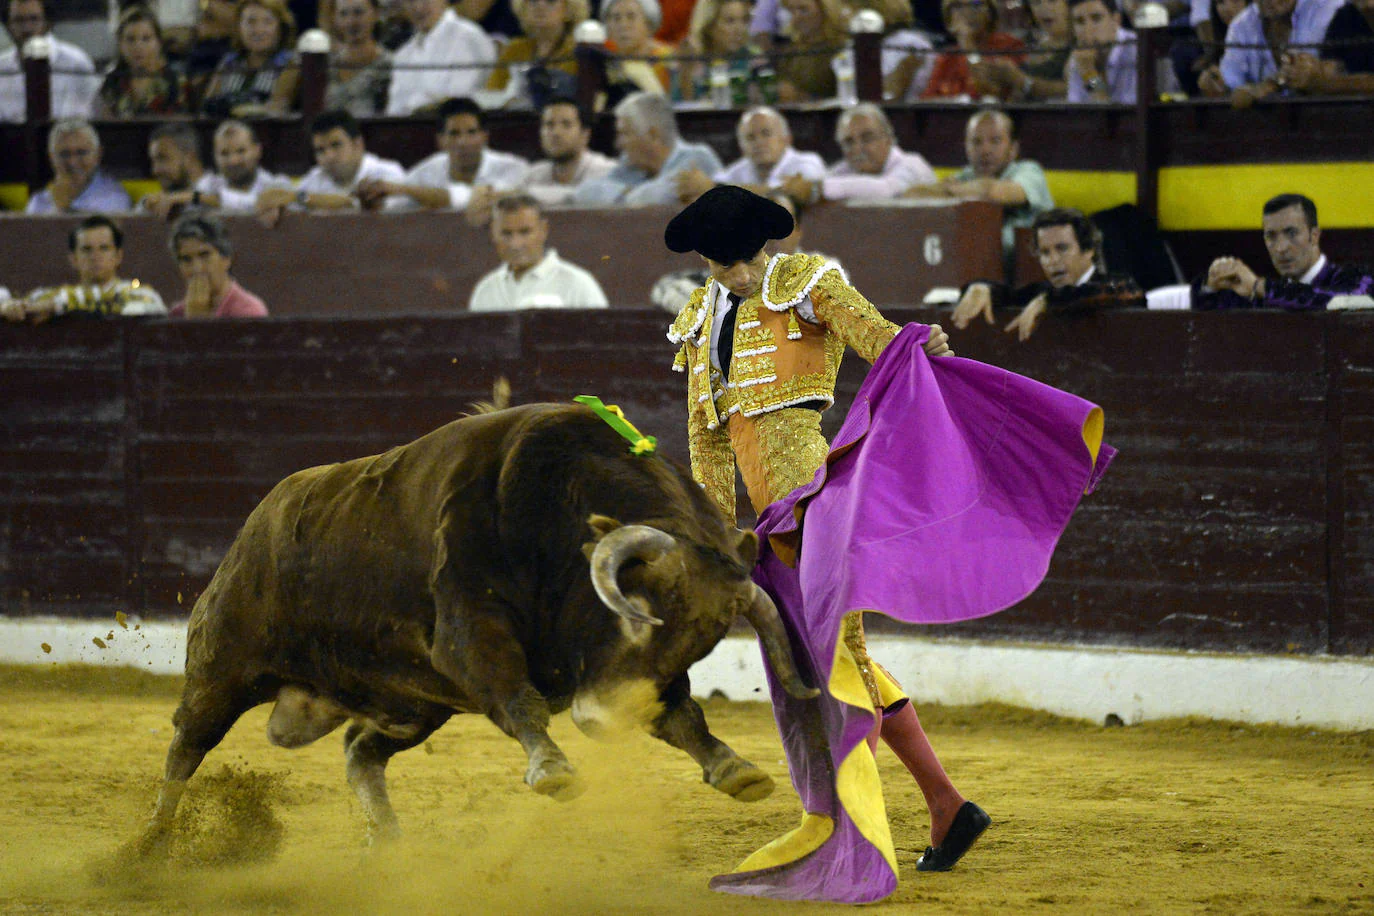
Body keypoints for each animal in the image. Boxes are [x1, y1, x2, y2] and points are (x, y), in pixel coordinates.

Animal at [136, 401, 813, 851]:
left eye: (703, 644)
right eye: (635, 621)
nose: (606, 721)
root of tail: (260, 517)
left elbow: (681, 714)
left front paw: (737, 769)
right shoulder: (467, 631)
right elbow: (518, 697)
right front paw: (553, 770)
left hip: (413, 703)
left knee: (361, 750)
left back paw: (388, 841)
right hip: (225, 665)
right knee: (187, 745)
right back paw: (151, 843)